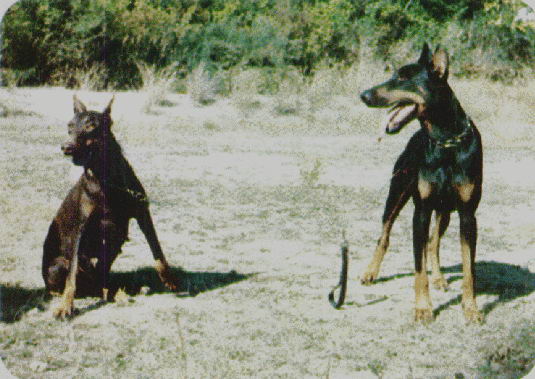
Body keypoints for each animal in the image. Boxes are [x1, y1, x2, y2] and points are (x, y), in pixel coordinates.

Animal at [44, 96, 178, 320]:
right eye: (69, 126)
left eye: (91, 125)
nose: (65, 147)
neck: (106, 178)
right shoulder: (80, 229)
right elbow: (71, 277)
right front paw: (66, 306)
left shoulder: (142, 213)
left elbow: (157, 251)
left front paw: (169, 278)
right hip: (59, 265)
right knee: (76, 279)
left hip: (115, 244)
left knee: (101, 280)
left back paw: (119, 292)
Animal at [360, 43, 486, 324]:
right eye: (394, 74)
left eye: (403, 78)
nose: (364, 95)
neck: (446, 142)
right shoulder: (421, 211)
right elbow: (418, 270)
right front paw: (422, 308)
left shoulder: (467, 215)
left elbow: (468, 268)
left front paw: (471, 308)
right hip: (396, 196)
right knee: (384, 236)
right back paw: (370, 272)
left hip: (445, 212)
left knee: (433, 243)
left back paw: (439, 278)